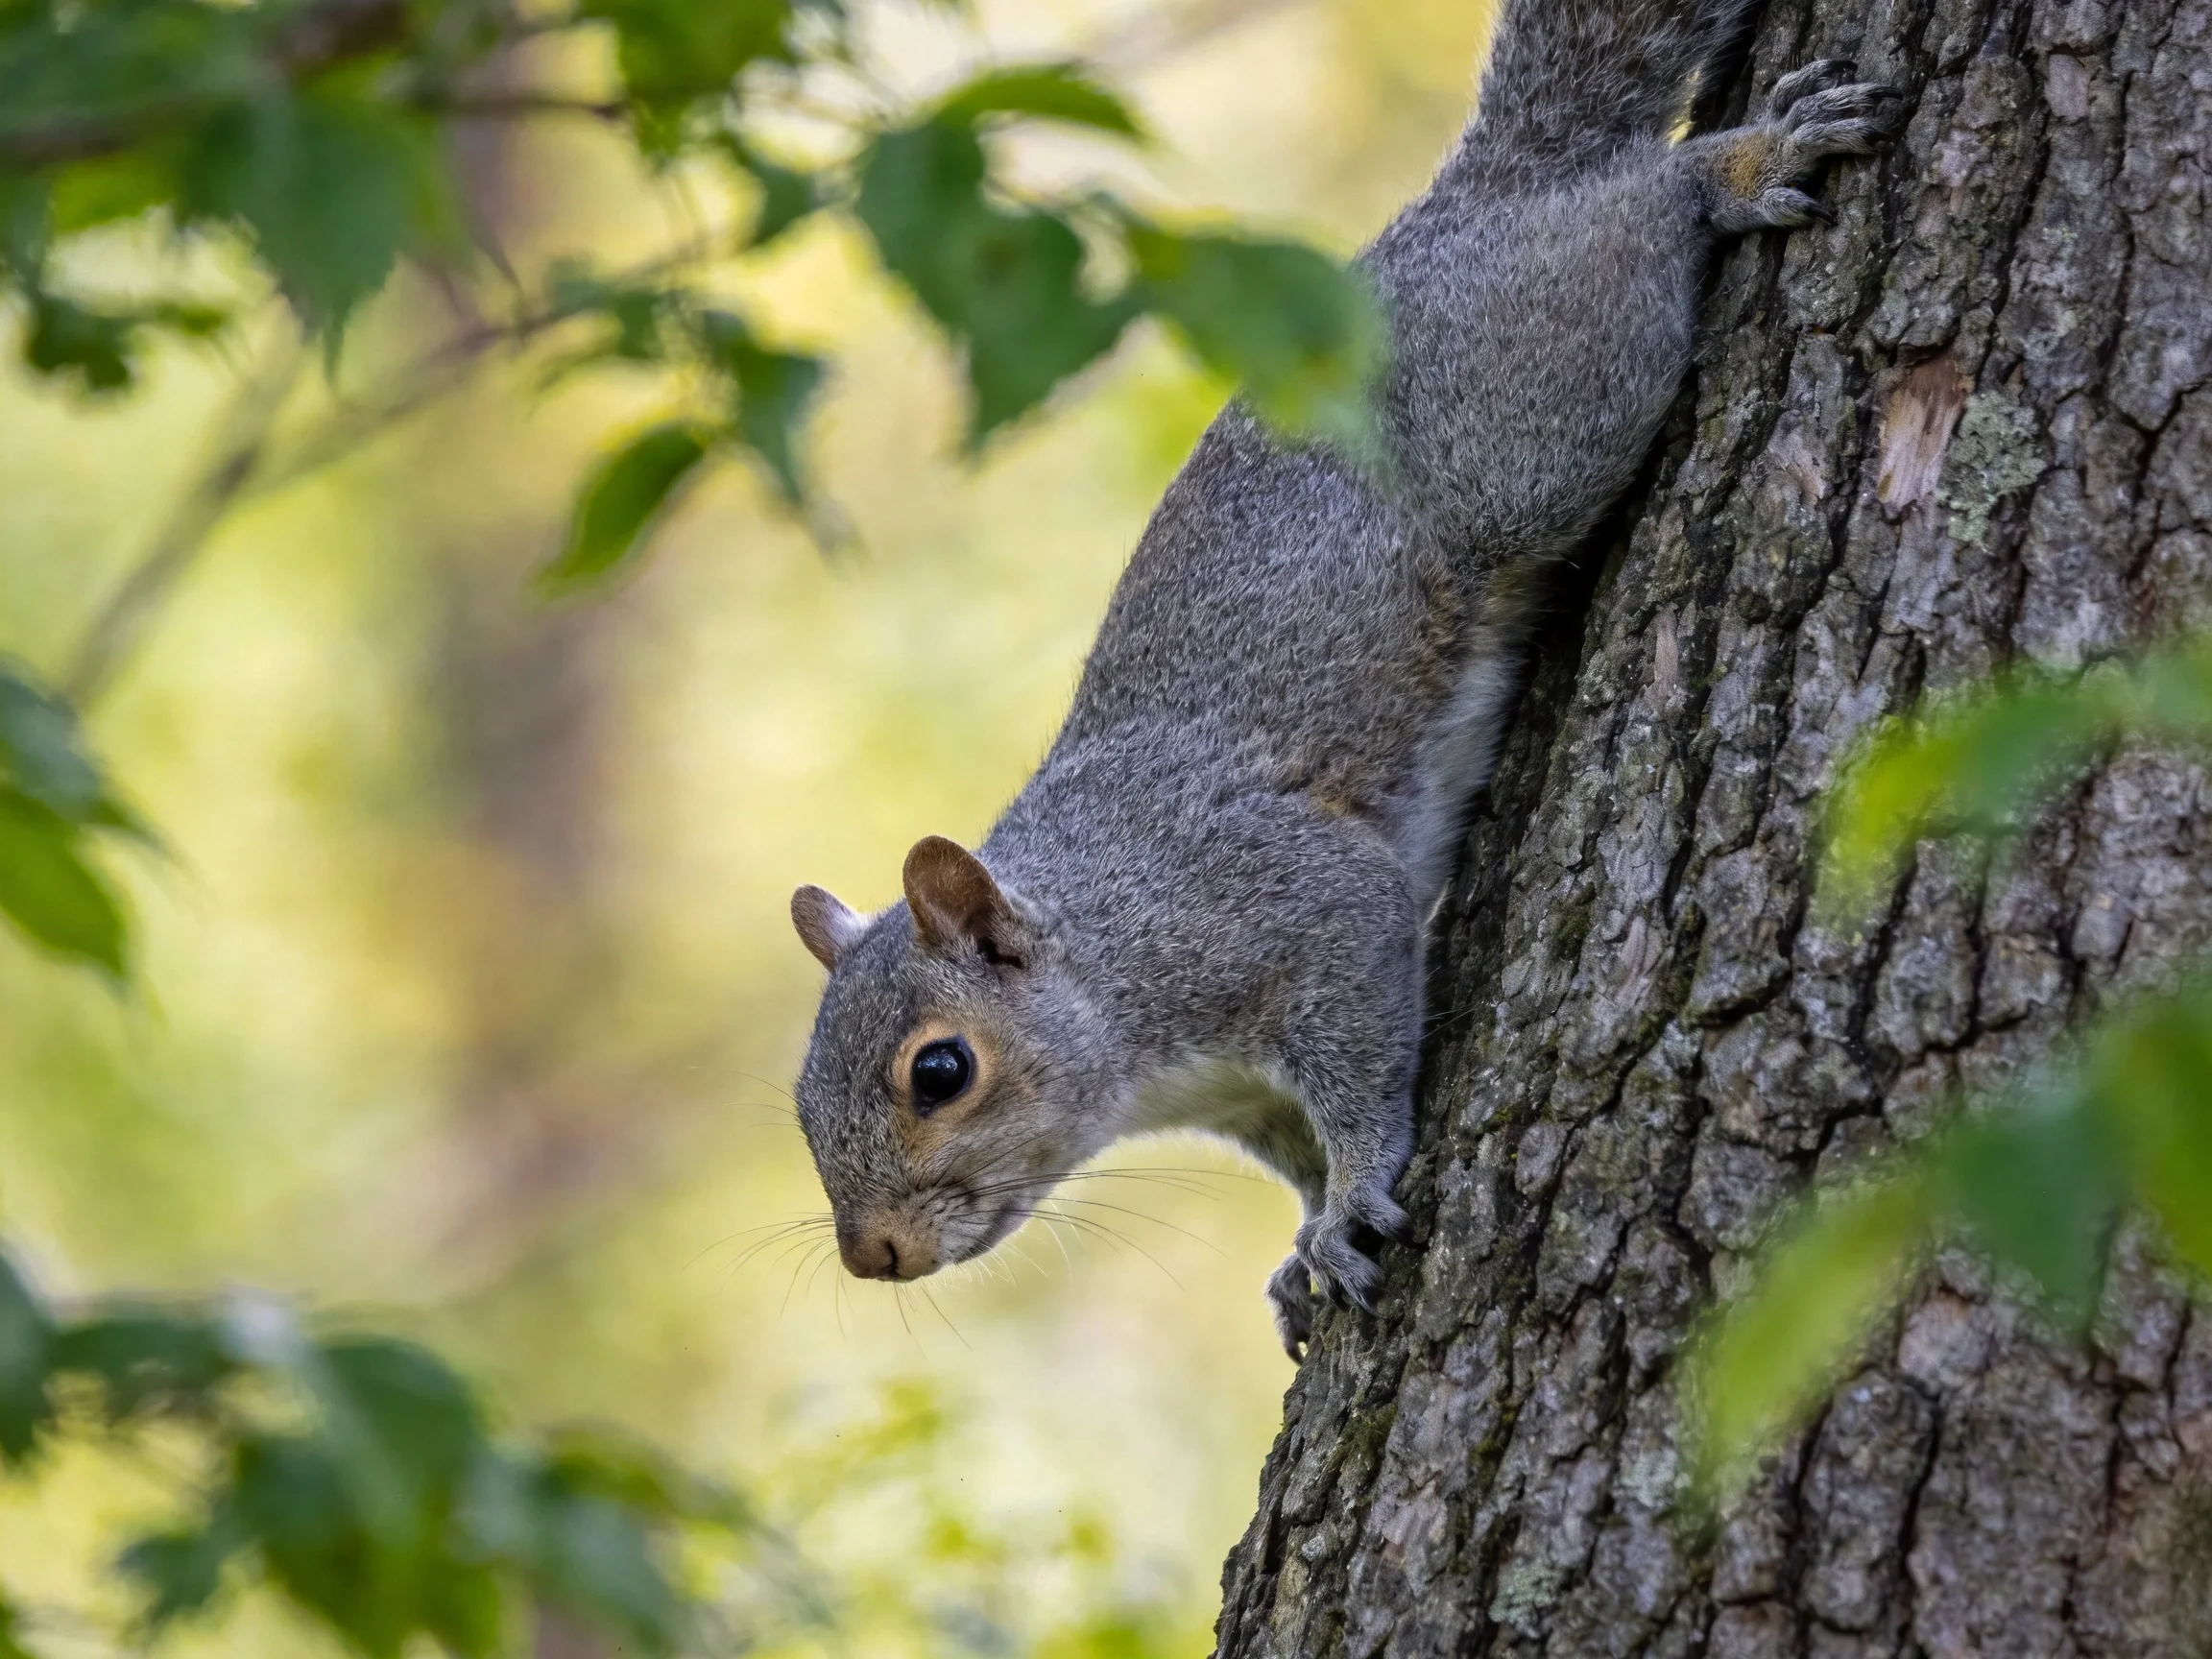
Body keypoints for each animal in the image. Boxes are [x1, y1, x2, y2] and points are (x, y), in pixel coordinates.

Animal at [787, 0, 1897, 1359]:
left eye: (938, 1071)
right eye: (800, 1099)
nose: (875, 1255)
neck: (1110, 964)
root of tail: (1473, 201)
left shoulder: (1293, 907)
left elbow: (1361, 1061)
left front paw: (1354, 1200)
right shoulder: (1246, 1096)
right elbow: (1298, 1148)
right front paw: (1303, 1247)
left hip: (1541, 409)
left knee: (1637, 217)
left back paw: (1739, 165)